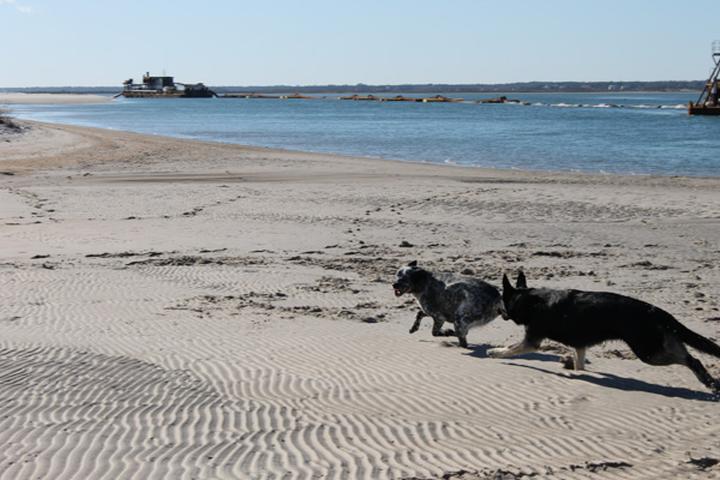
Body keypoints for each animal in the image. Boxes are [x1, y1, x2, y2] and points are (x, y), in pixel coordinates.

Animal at [490, 272, 720, 392]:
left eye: (501, 301)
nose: (497, 311)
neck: (528, 300)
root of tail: (656, 311)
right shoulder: (579, 345)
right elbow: (579, 362)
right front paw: (579, 371)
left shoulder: (532, 340)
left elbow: (511, 348)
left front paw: (496, 352)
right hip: (658, 344)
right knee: (689, 355)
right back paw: (709, 381)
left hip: (648, 351)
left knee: (690, 359)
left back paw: (707, 381)